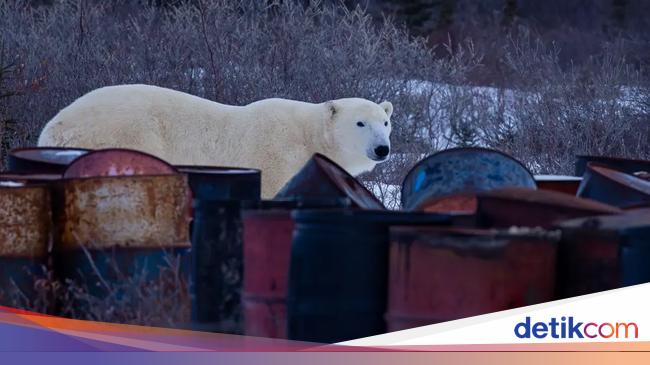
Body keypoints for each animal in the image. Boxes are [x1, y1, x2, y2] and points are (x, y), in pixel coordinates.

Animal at [38, 84, 392, 198]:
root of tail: (55, 127)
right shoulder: (276, 158)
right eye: (360, 123)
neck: (309, 135)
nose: (382, 149)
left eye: (386, 122)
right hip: (126, 133)